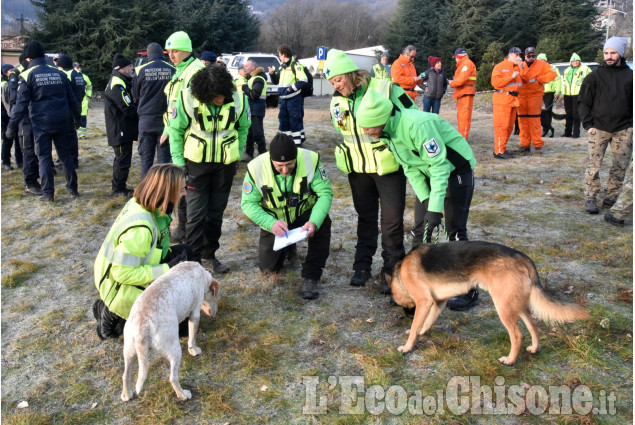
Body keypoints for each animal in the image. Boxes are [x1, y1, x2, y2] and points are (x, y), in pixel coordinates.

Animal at [121, 260, 221, 400]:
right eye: (217, 298)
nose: (215, 314)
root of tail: (142, 323)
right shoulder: (195, 314)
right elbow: (192, 338)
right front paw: (193, 350)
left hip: (129, 351)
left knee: (125, 375)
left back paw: (126, 395)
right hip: (175, 351)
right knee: (172, 378)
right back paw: (183, 395)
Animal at [390, 240, 592, 362]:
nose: (407, 312)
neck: (400, 270)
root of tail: (522, 257)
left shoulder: (424, 302)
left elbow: (415, 327)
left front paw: (407, 347)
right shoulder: (439, 303)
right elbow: (427, 322)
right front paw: (422, 332)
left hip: (503, 307)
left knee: (517, 336)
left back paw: (510, 360)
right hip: (517, 305)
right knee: (533, 325)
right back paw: (535, 348)